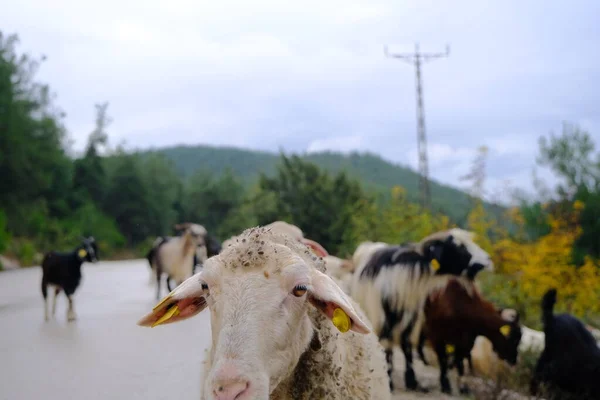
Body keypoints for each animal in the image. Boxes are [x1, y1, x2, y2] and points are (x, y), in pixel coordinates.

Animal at [346, 230, 492, 392]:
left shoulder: (412, 315)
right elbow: (387, 344)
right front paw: (389, 379)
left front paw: (411, 380)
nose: (487, 259)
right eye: (459, 247)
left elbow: (407, 344)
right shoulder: (383, 317)